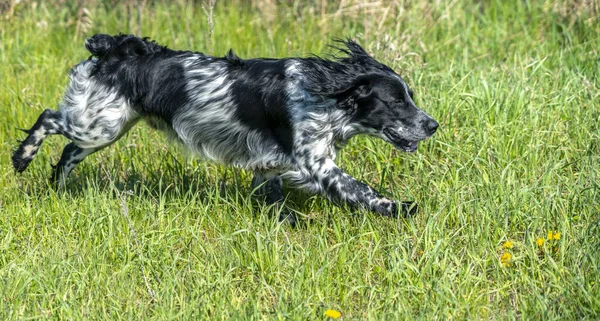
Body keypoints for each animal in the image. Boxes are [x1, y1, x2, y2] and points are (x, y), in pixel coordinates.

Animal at [11, 34, 438, 218]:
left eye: (410, 96)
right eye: (396, 101)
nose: (433, 125)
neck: (325, 93)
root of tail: (115, 48)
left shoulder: (270, 166)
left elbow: (275, 199)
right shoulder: (314, 162)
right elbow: (362, 190)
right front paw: (400, 208)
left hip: (108, 126)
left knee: (68, 152)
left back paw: (59, 187)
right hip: (98, 124)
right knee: (48, 119)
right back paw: (22, 157)